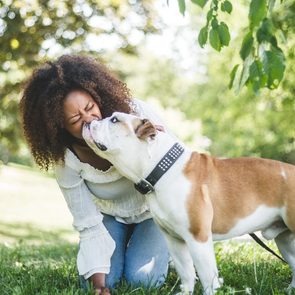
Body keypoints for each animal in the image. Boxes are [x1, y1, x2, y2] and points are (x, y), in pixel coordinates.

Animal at [82, 112, 295, 294]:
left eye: (114, 120)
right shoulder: (174, 240)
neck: (161, 170)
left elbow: (208, 277)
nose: (89, 121)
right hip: (285, 240)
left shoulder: (198, 238)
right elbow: (186, 272)